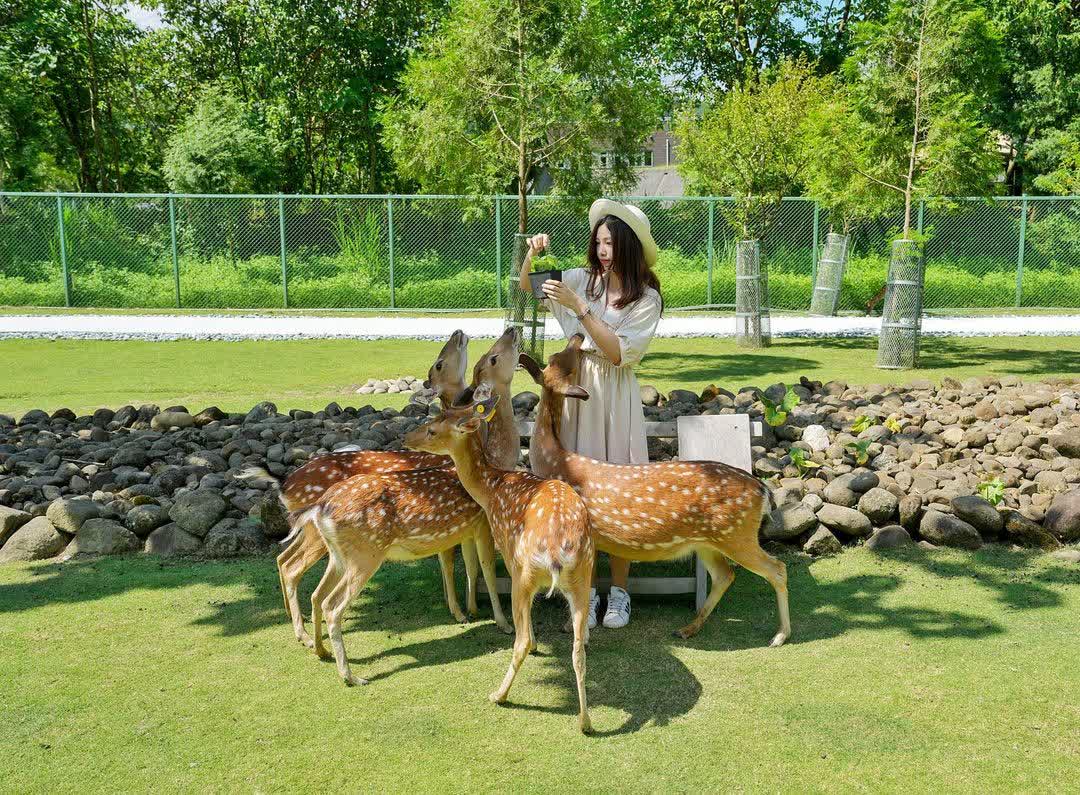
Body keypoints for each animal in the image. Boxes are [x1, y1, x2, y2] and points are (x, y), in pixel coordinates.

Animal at [404, 394, 595, 734]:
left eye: (432, 429)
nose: (405, 439)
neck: (492, 488)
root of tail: (559, 551)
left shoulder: (505, 548)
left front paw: (532, 642)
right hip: (583, 576)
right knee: (578, 649)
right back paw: (584, 721)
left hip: (527, 571)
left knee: (521, 643)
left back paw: (499, 694)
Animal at [513, 334, 791, 646]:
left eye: (560, 358)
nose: (577, 337)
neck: (555, 462)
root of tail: (763, 490)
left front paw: (578, 634)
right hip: (709, 541)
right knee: (725, 575)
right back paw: (688, 628)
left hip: (737, 534)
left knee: (777, 569)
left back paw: (780, 635)